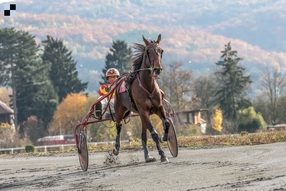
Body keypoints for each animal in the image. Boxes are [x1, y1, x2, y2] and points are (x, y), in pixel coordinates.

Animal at [113, 34, 170, 163]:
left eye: (161, 50)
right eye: (148, 51)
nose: (157, 69)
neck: (147, 86)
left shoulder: (158, 107)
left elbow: (167, 123)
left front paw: (164, 136)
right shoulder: (143, 111)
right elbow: (154, 134)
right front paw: (162, 154)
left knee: (143, 135)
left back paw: (147, 156)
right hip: (120, 110)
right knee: (118, 125)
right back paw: (116, 148)